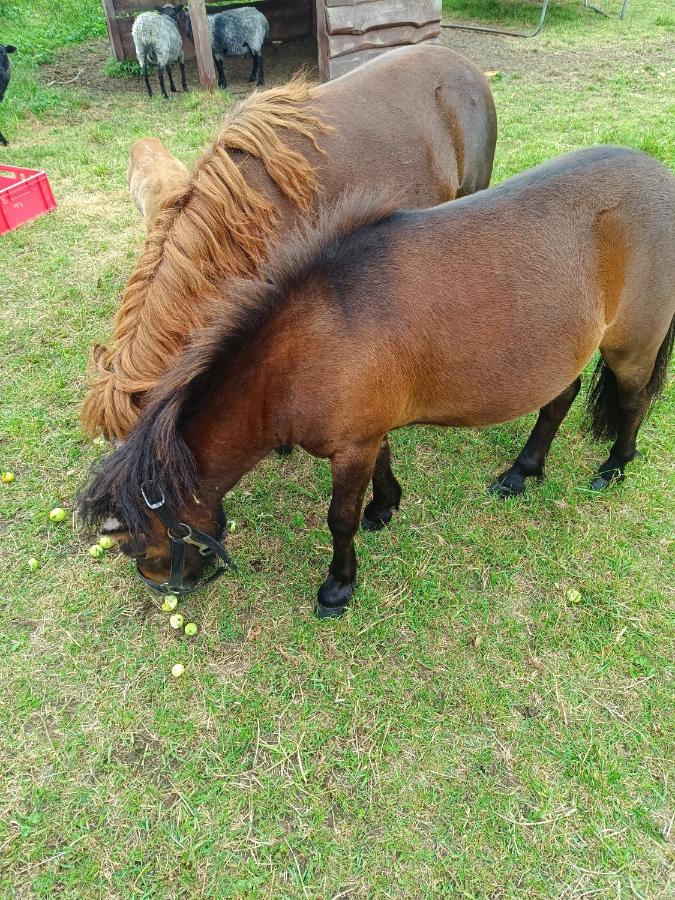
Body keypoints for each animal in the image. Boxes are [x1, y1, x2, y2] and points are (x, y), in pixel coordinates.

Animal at [79, 146, 675, 619]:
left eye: (137, 548)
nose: (162, 587)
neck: (307, 345)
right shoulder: (368, 433)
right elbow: (383, 467)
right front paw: (385, 506)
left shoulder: (350, 448)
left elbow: (338, 519)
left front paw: (338, 586)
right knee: (559, 400)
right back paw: (522, 471)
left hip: (630, 349)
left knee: (634, 400)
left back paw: (614, 467)